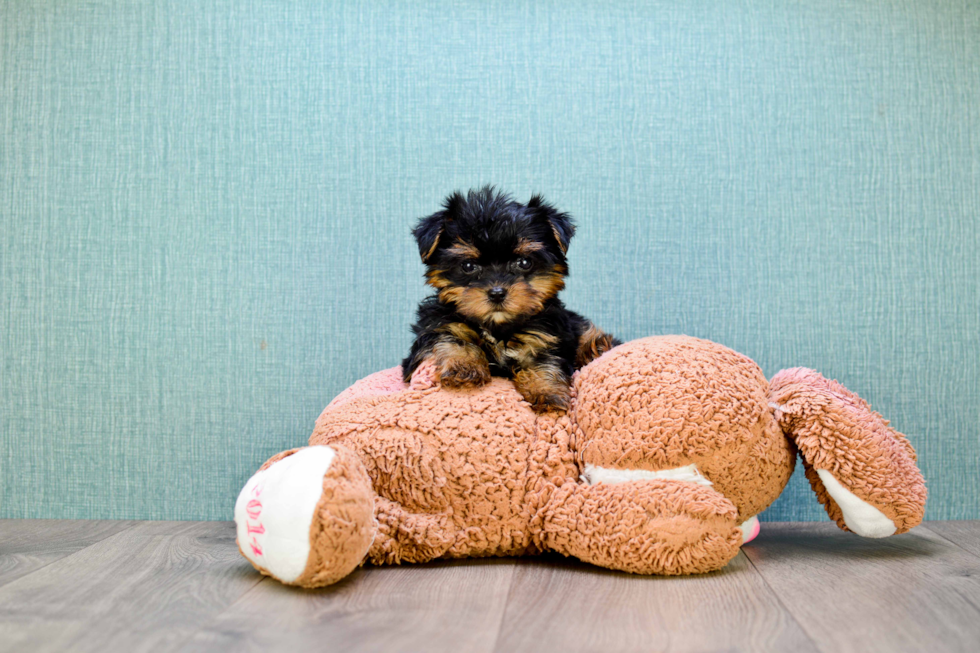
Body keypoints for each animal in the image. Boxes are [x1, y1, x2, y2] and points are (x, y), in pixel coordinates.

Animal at [400, 188, 620, 410]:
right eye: (468, 266)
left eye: (524, 262)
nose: (497, 293)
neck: (497, 326)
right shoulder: (438, 326)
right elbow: (451, 339)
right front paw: (463, 367)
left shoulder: (544, 337)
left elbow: (545, 362)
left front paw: (547, 392)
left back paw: (596, 348)